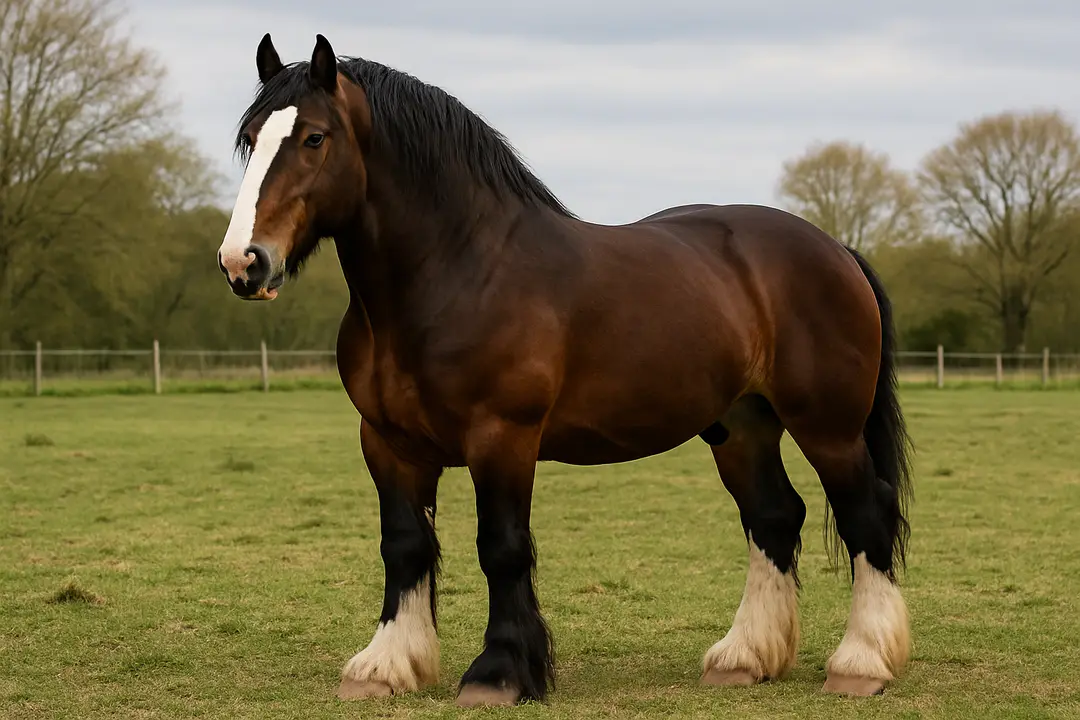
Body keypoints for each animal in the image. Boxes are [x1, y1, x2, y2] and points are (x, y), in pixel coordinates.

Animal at [216, 33, 913, 708]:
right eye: (249, 138)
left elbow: (501, 548)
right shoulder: (386, 443)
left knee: (866, 513)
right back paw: (744, 658)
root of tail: (834, 248)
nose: (244, 262)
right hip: (740, 427)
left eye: (314, 137)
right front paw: (386, 666)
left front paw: (499, 674)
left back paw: (861, 663)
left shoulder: (502, 437)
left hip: (827, 427)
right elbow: (405, 544)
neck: (457, 272)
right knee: (774, 516)